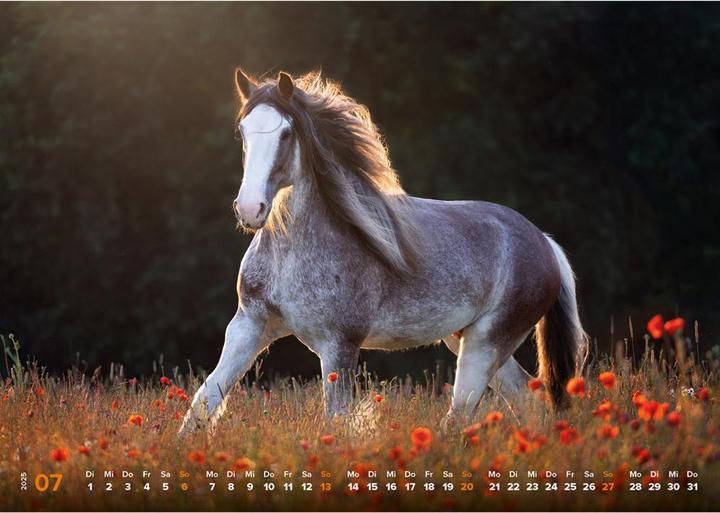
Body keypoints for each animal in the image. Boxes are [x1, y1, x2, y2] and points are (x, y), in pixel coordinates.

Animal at [178, 69, 588, 436]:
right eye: (243, 132)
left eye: (286, 132)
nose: (250, 209)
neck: (292, 258)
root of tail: (543, 241)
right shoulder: (249, 324)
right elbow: (203, 403)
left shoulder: (339, 345)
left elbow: (336, 422)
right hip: (466, 338)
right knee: (528, 400)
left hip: (486, 344)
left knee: (460, 416)